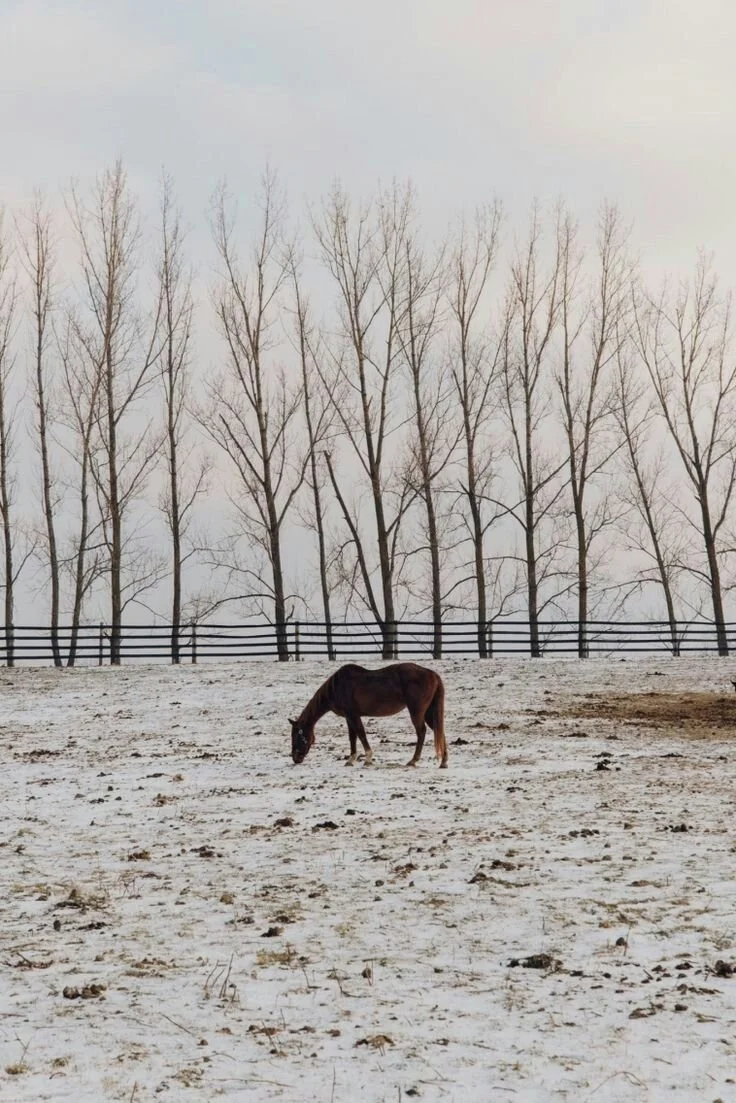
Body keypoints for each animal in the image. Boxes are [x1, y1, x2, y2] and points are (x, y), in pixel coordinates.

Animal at [289, 662, 448, 768]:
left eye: (296, 735)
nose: (295, 758)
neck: (337, 687)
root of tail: (432, 674)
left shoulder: (353, 715)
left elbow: (361, 734)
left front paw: (367, 759)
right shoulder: (348, 717)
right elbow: (352, 737)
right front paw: (351, 759)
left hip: (417, 711)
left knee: (421, 732)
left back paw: (413, 760)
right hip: (429, 713)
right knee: (439, 731)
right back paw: (444, 762)